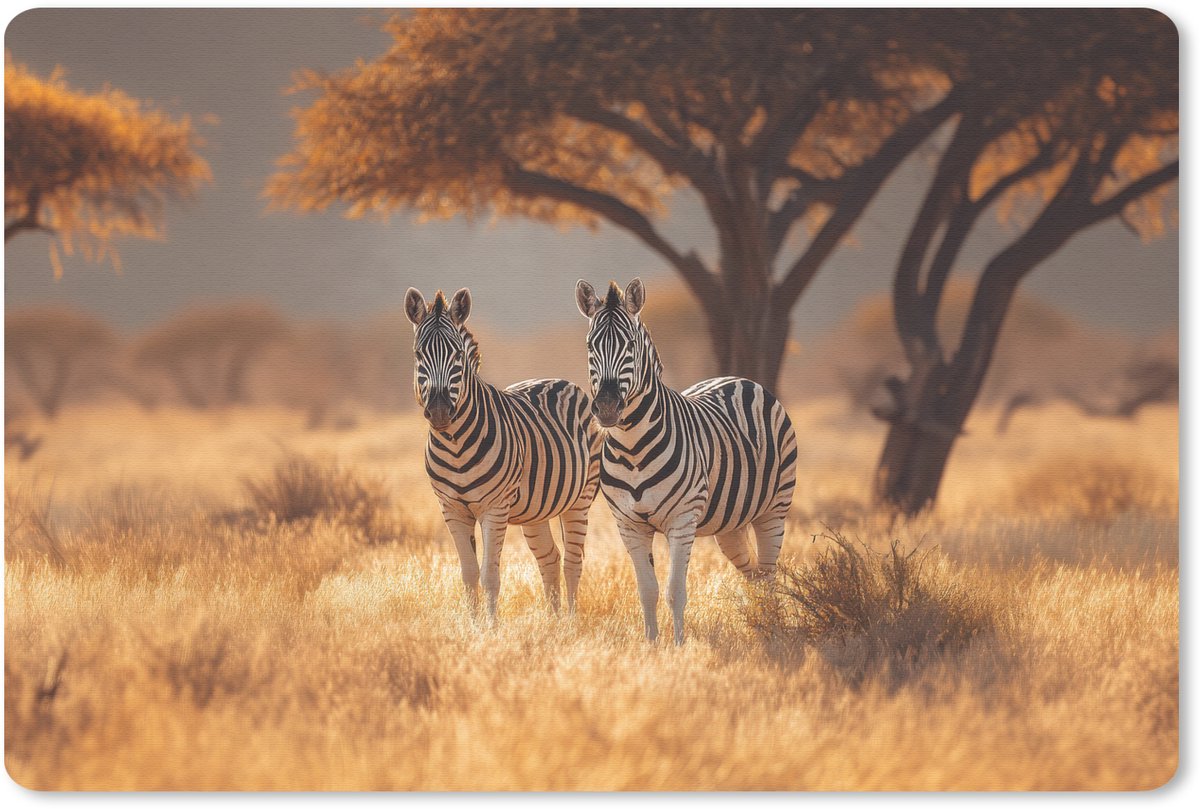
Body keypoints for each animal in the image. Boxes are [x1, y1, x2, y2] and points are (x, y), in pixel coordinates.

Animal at [405, 287, 602, 617]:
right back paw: (552, 623)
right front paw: (472, 625)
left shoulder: (494, 509)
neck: (455, 445)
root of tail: (559, 380)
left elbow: (489, 576)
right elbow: (468, 574)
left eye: (457, 355)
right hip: (537, 509)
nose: (440, 411)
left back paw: (570, 623)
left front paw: (490, 627)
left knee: (573, 563)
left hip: (581, 498)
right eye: (419, 355)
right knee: (550, 559)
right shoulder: (451, 509)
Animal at [575, 278, 798, 644]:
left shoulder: (682, 520)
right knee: (752, 572)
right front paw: (651, 644)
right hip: (730, 523)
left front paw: (679, 646)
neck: (633, 448)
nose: (606, 407)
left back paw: (774, 631)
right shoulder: (629, 525)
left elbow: (674, 591)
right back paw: (758, 624)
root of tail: (739, 378)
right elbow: (647, 590)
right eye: (591, 346)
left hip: (774, 508)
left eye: (631, 346)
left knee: (767, 574)